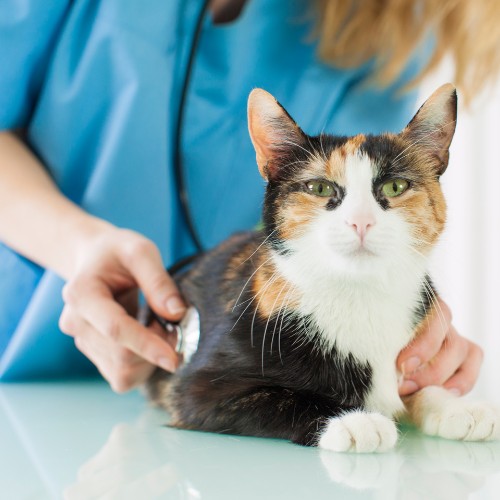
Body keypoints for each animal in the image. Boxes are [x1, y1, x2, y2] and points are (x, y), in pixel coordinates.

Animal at [147, 84, 500, 452]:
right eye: (319, 188)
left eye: (395, 186)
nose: (361, 221)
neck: (360, 295)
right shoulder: (196, 389)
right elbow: (285, 398)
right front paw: (353, 419)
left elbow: (421, 385)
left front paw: (457, 406)